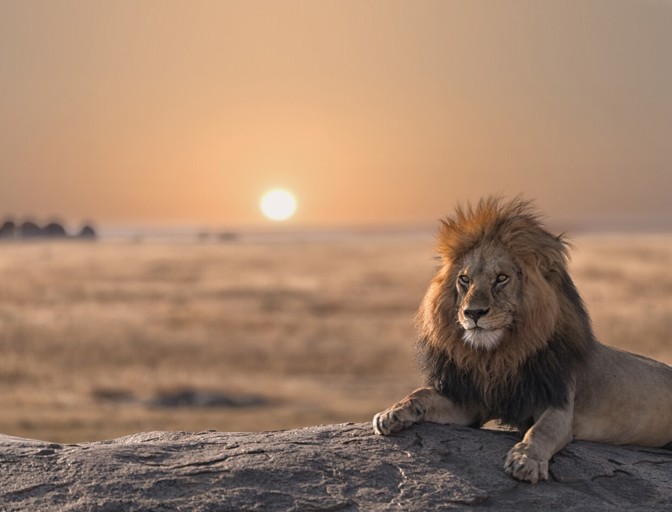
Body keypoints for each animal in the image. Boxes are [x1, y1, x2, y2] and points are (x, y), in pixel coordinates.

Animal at [373, 197, 672, 483]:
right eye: (465, 279)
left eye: (501, 278)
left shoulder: (559, 405)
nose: (473, 313)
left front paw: (525, 460)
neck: (499, 355)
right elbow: (421, 394)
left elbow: (541, 431)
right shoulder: (474, 402)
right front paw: (392, 413)